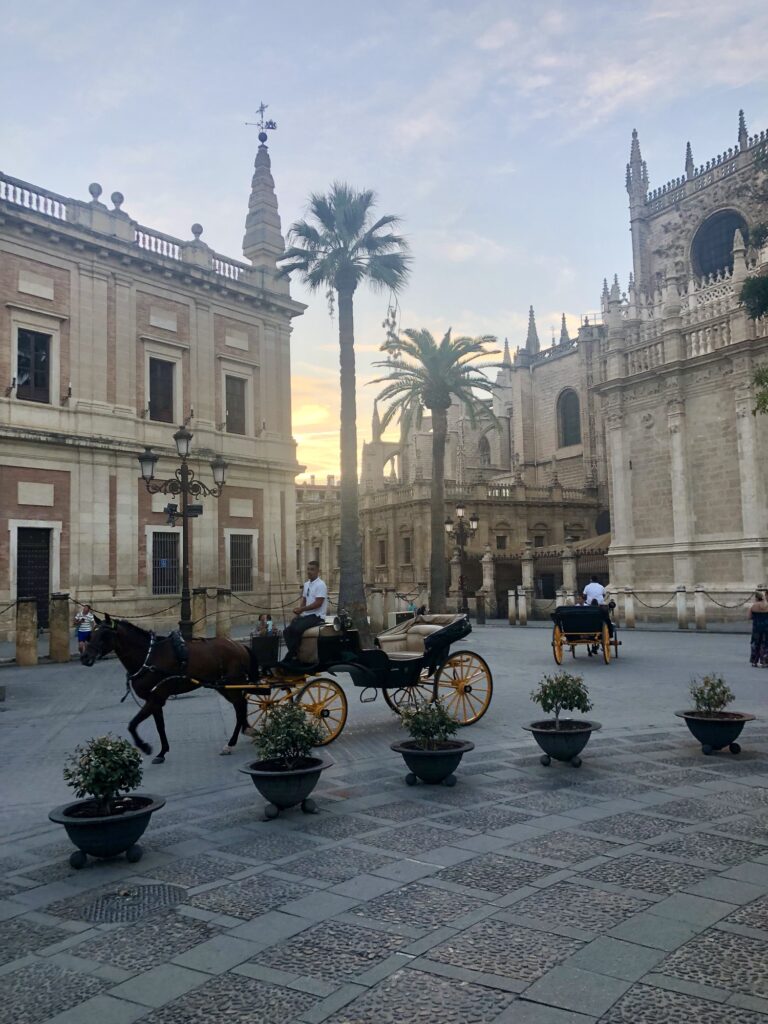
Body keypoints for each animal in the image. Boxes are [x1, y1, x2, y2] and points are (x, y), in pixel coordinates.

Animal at [81, 610, 256, 765]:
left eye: (104, 634)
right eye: (90, 635)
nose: (85, 657)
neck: (149, 657)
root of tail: (240, 646)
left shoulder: (155, 698)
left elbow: (132, 724)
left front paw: (145, 746)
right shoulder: (155, 701)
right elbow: (160, 726)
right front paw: (162, 752)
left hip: (232, 684)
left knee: (240, 708)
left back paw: (231, 743)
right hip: (223, 686)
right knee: (241, 705)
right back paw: (246, 730)